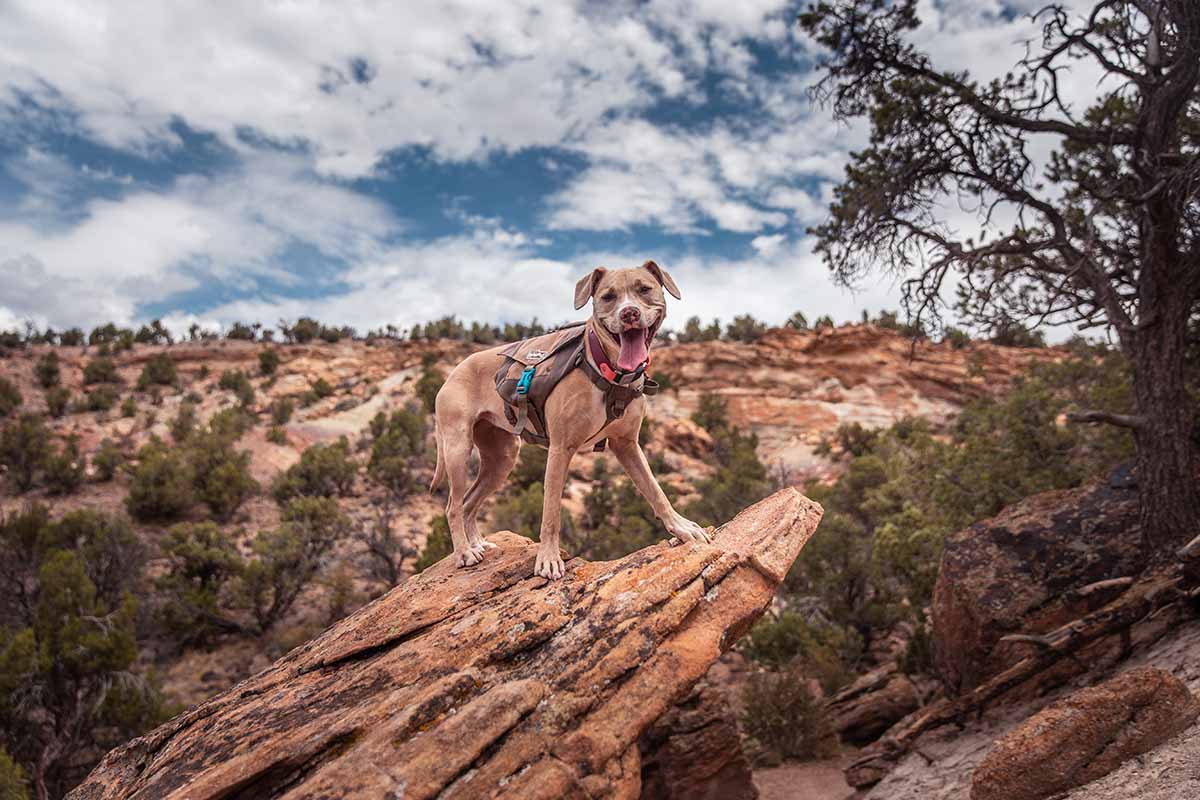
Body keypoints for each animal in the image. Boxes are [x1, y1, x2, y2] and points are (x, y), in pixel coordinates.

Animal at [432, 260, 710, 578]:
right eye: (608, 297)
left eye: (644, 289)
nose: (629, 313)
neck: (608, 370)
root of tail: (454, 370)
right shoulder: (560, 449)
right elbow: (551, 511)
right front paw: (548, 559)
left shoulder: (627, 444)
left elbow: (655, 490)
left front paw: (681, 526)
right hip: (457, 448)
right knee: (453, 505)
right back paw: (464, 552)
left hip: (501, 457)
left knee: (469, 502)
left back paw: (477, 543)